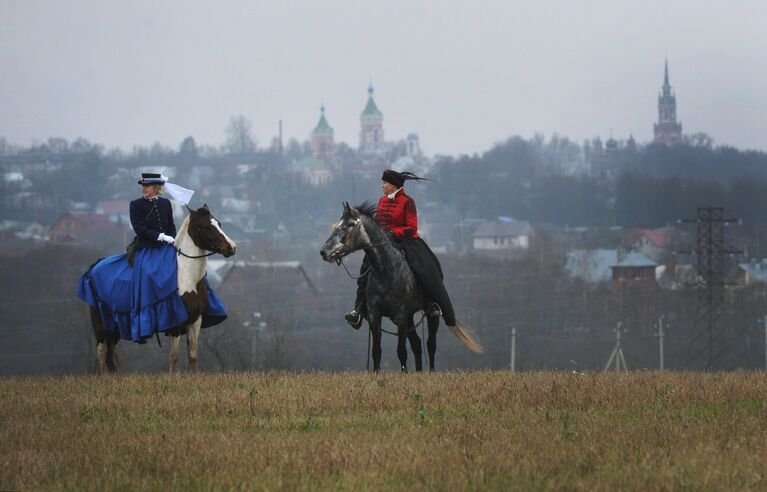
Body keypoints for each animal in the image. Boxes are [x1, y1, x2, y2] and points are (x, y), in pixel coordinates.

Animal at [89, 204, 236, 372]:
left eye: (219, 223)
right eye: (205, 226)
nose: (231, 248)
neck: (186, 276)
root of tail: (95, 266)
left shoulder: (195, 321)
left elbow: (192, 355)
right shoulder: (176, 323)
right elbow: (174, 355)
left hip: (116, 327)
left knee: (111, 355)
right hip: (101, 324)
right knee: (101, 351)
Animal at [320, 202, 484, 370]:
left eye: (345, 227)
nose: (323, 252)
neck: (385, 270)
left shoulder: (400, 316)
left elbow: (401, 351)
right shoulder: (375, 316)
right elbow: (376, 352)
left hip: (430, 314)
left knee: (430, 344)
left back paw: (430, 371)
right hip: (409, 317)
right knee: (417, 344)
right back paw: (418, 372)